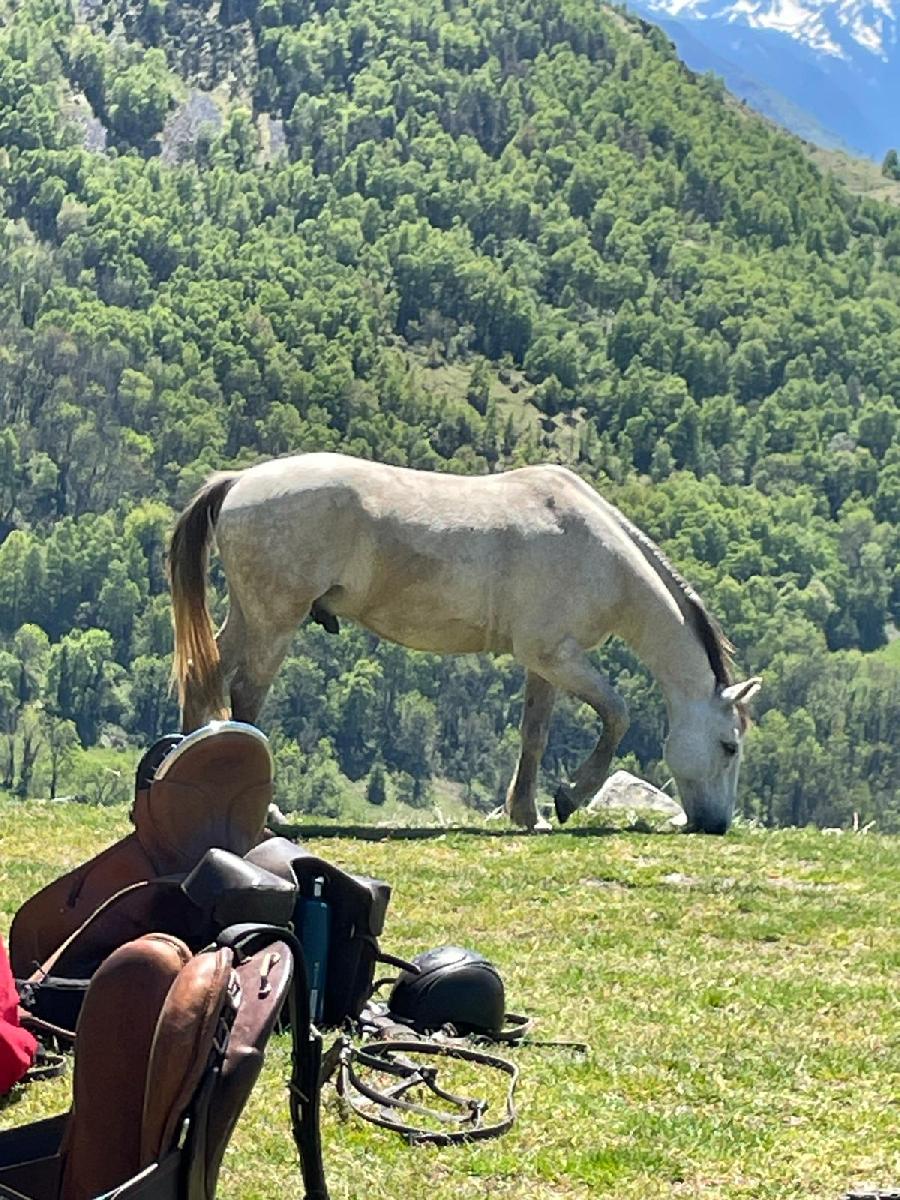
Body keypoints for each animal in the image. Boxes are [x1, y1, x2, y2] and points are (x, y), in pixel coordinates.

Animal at [168, 451, 763, 835]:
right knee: (246, 697)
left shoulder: (545, 662)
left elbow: (534, 733)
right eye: (729, 746)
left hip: (250, 616)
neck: (598, 554)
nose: (716, 825)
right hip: (276, 621)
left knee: (205, 680)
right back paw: (268, 814)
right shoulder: (558, 657)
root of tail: (240, 481)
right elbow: (616, 714)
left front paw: (526, 813)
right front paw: (570, 798)